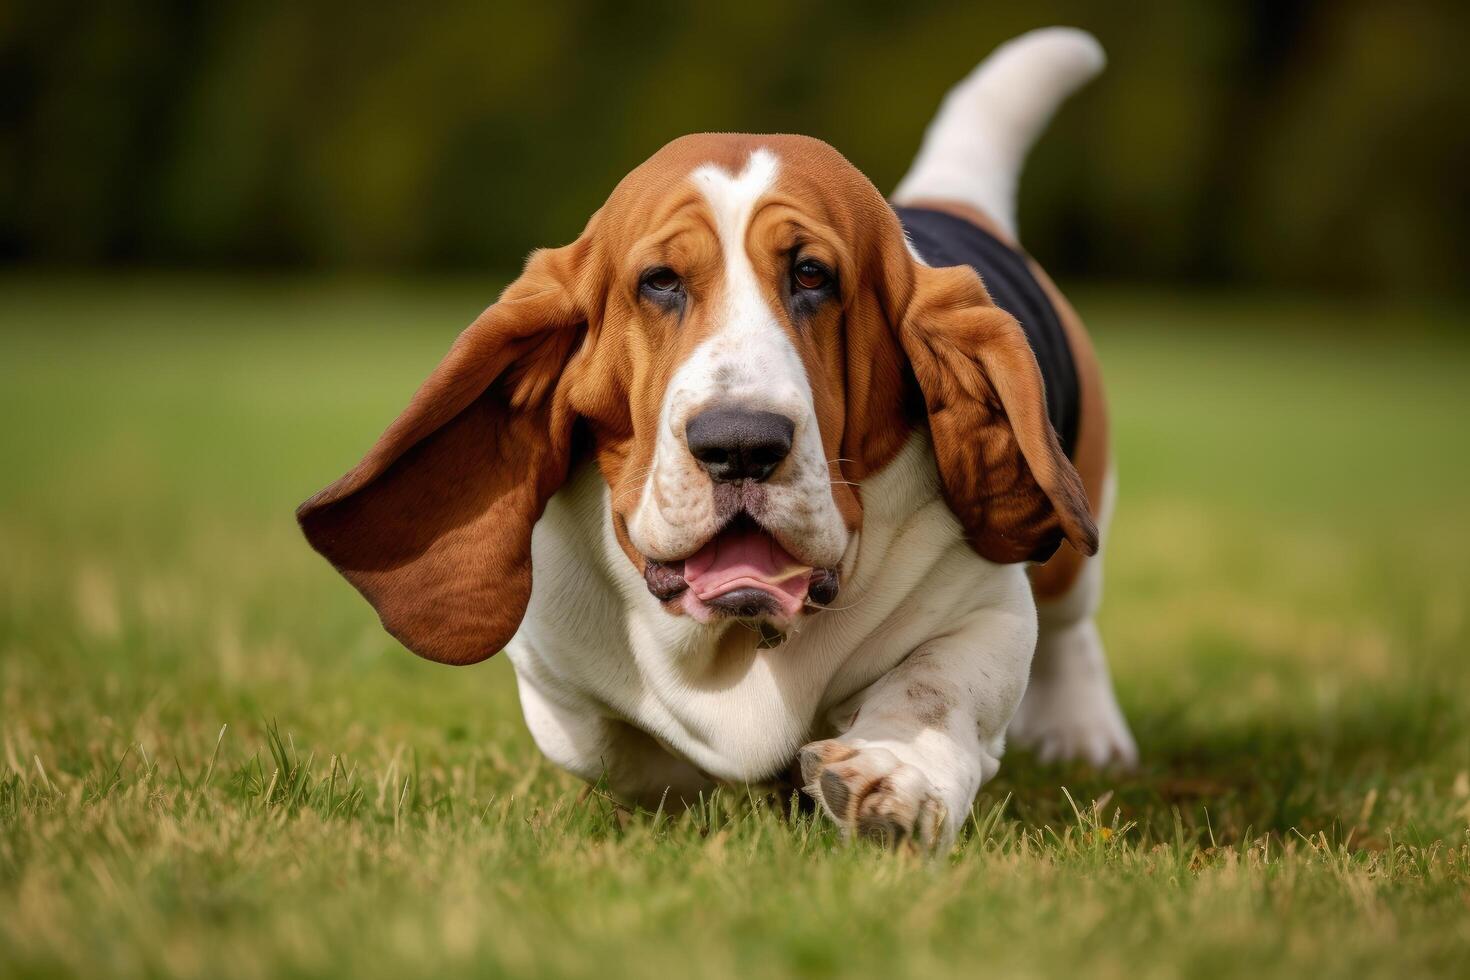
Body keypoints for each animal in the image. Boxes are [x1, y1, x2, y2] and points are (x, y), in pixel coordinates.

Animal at [295, 26, 1134, 846]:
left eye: (812, 275)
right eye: (660, 281)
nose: (740, 445)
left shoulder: (986, 611)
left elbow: (934, 688)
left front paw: (889, 776)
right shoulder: (553, 681)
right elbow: (618, 751)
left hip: (1071, 541)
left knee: (1071, 625)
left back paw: (1085, 734)